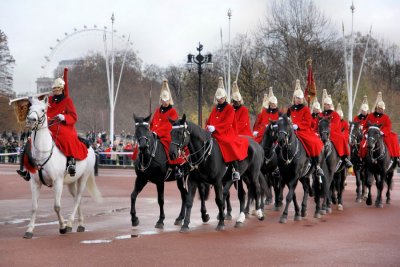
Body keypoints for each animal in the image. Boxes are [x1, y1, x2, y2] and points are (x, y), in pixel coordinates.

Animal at [23, 96, 101, 239]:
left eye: (43, 110)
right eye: (30, 108)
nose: (31, 120)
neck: (43, 152)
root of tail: (90, 146)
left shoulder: (57, 182)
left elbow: (57, 206)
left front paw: (63, 227)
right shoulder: (35, 183)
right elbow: (34, 206)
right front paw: (29, 230)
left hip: (83, 178)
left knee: (78, 198)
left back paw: (69, 224)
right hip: (71, 182)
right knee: (77, 198)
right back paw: (80, 224)